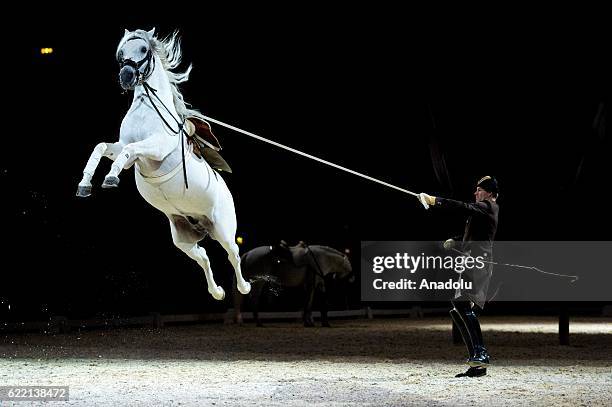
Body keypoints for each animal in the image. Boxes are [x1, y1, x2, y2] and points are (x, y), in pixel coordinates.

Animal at [76, 28, 251, 302]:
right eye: (121, 52)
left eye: (144, 50)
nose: (126, 76)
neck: (147, 108)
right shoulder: (123, 146)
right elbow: (103, 148)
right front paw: (85, 183)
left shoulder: (155, 148)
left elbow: (130, 151)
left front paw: (110, 178)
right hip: (183, 237)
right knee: (203, 258)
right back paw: (217, 292)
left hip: (223, 227)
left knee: (232, 252)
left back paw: (244, 287)